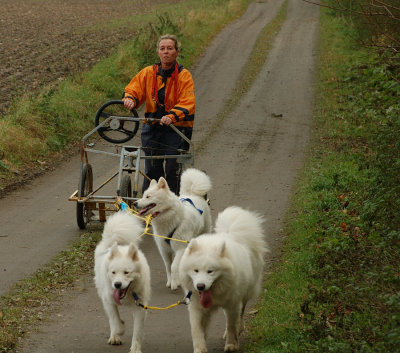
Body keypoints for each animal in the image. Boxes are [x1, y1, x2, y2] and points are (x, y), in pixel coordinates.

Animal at [94, 210, 151, 350]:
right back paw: (114, 336)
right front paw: (119, 330)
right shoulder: (108, 300)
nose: (117, 284)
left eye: (126, 272)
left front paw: (135, 349)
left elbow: (137, 331)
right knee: (111, 319)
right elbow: (115, 320)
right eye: (113, 272)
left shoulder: (140, 307)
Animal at [179, 205, 268, 350]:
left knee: (240, 314)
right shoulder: (196, 307)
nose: (200, 286)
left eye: (210, 271)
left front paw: (231, 345)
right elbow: (197, 330)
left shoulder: (233, 304)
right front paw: (200, 348)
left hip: (245, 293)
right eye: (196, 270)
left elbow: (231, 325)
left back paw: (238, 328)